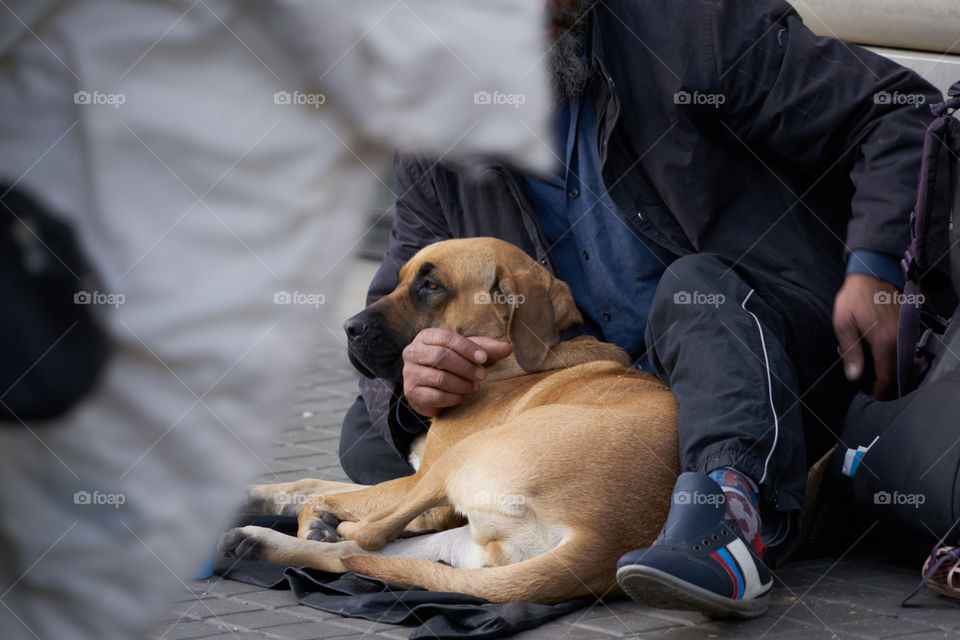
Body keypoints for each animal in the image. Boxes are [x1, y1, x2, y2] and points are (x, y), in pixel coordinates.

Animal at [220, 238, 680, 604]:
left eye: (432, 286)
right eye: (402, 279)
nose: (349, 327)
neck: (514, 358)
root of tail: (604, 541)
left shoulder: (417, 477)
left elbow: (322, 497)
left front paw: (316, 520)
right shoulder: (411, 477)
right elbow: (310, 483)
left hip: (457, 462)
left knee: (370, 536)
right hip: (464, 537)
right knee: (355, 557)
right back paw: (258, 542)